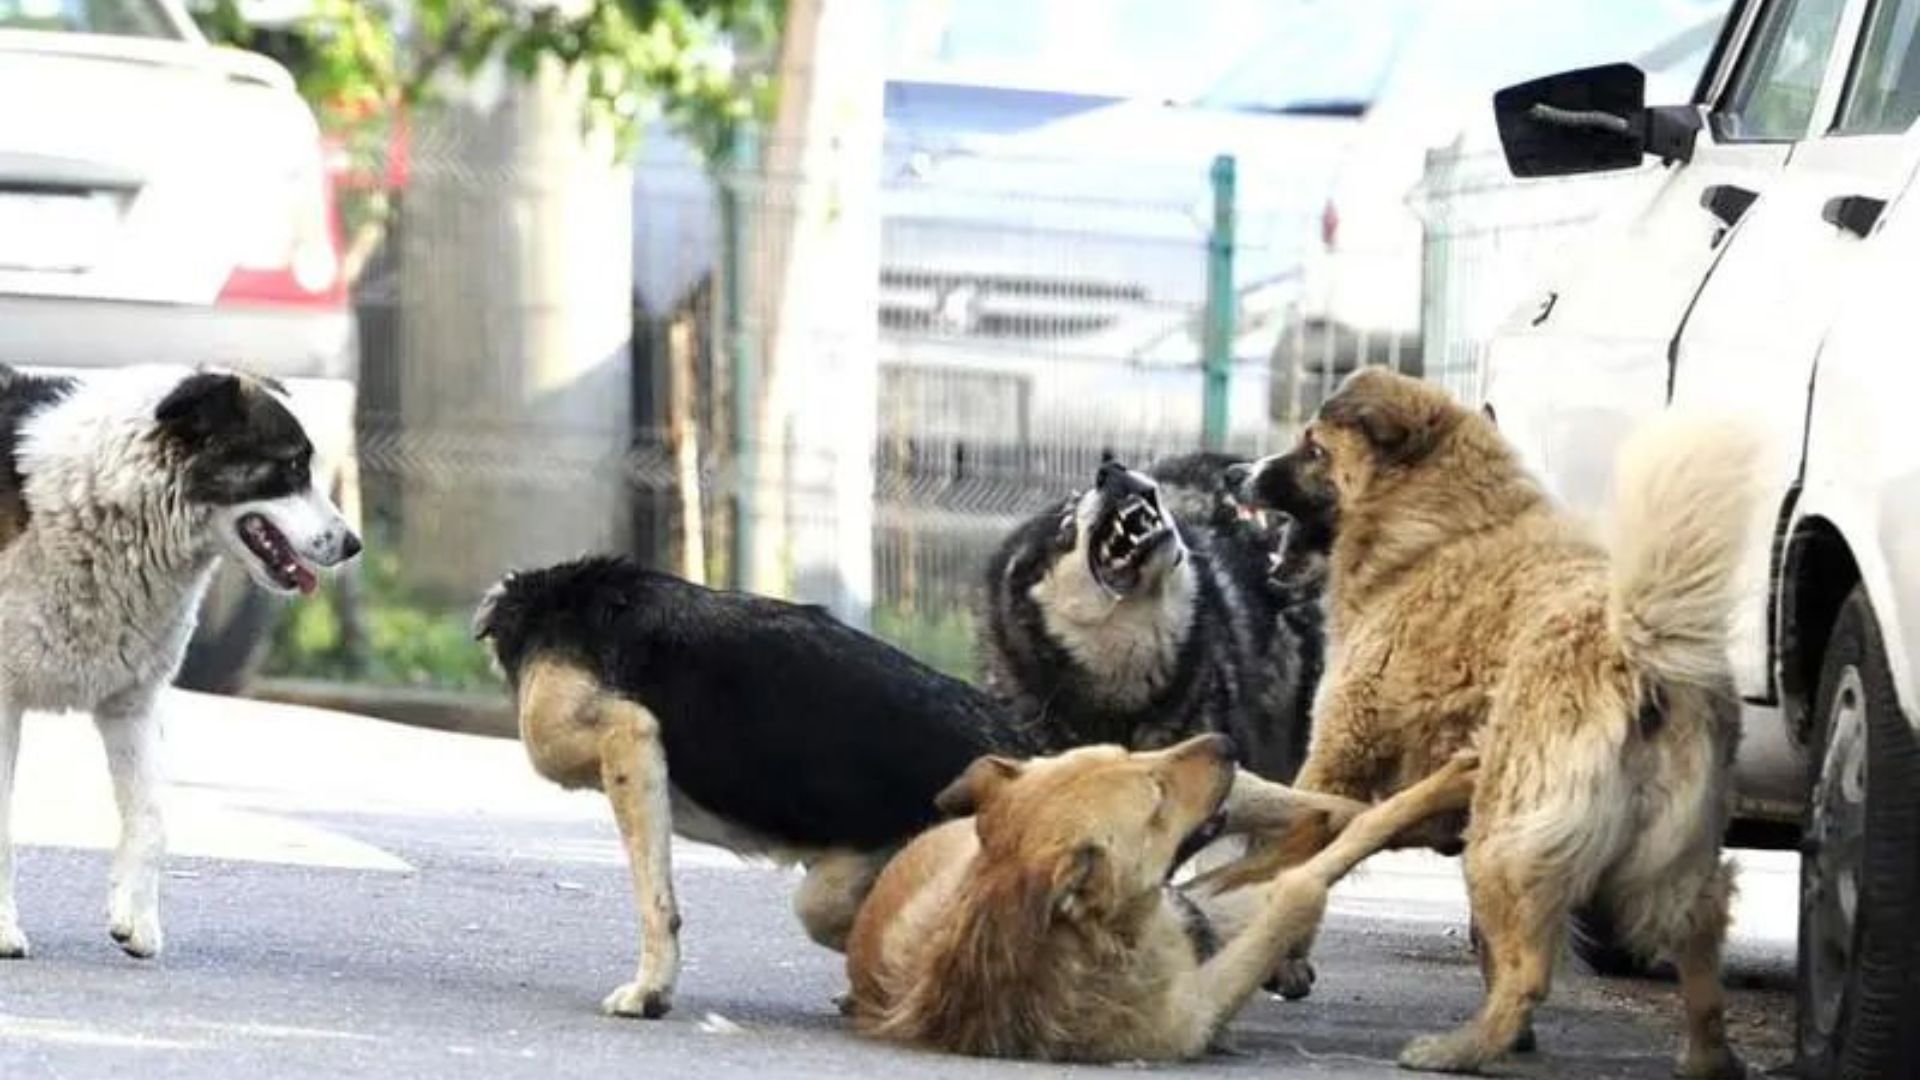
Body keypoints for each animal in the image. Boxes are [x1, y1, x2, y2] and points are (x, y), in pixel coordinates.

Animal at [0, 364, 361, 959]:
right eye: (290, 466)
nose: (353, 544)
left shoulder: (133, 704)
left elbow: (152, 819)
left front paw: (137, 921)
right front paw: (5, 930)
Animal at [844, 734, 1478, 1061]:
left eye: (1125, 752)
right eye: (1155, 796)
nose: (1225, 740)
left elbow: (1335, 839)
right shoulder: (1201, 1004)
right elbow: (1305, 886)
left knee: (1320, 813)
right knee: (1323, 832)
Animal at [1206, 368, 1758, 1076]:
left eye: (1313, 448)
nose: (1235, 474)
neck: (1441, 530)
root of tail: (1638, 650)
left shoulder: (1338, 757)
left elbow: (1293, 852)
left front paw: (1280, 956)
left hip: (1503, 839)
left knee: (1532, 970)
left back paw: (1457, 1049)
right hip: (1668, 857)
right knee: (1698, 944)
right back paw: (1707, 1056)